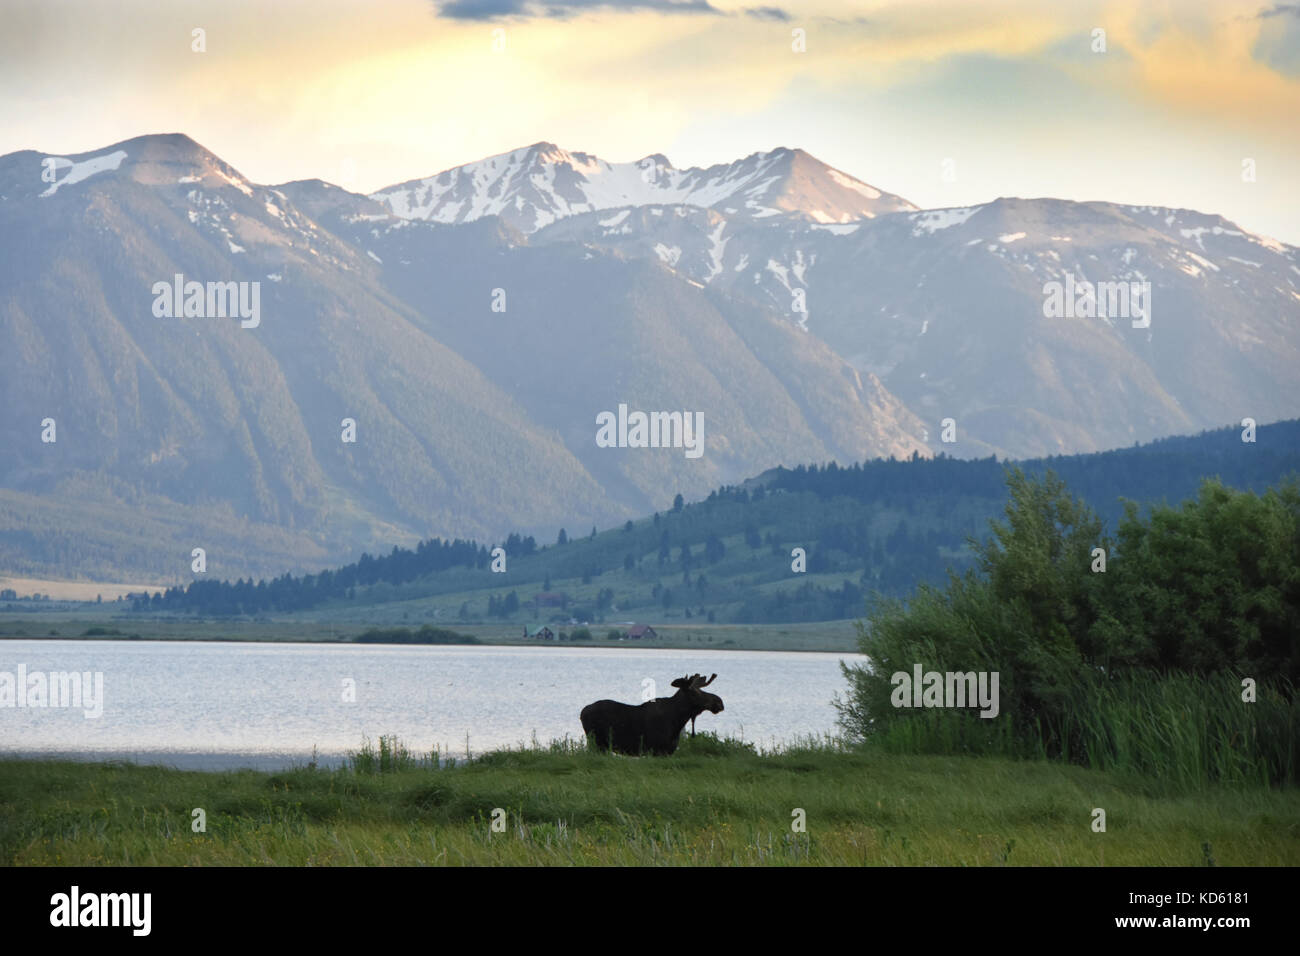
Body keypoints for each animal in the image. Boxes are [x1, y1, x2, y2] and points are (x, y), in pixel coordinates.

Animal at [580, 673, 722, 755]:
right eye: (694, 692)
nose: (719, 702)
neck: (677, 720)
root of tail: (582, 712)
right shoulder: (656, 750)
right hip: (597, 743)